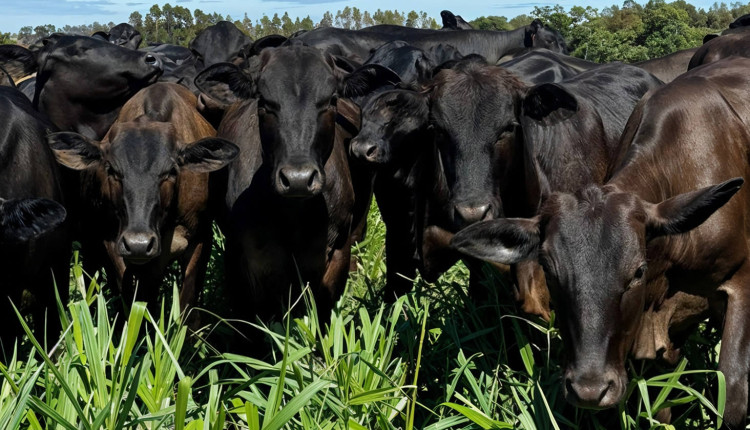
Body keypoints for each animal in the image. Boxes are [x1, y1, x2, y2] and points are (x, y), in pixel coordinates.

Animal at [46, 81, 238, 316]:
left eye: (171, 171)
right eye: (112, 170)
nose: (139, 243)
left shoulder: (201, 238)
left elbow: (187, 306)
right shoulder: (112, 242)